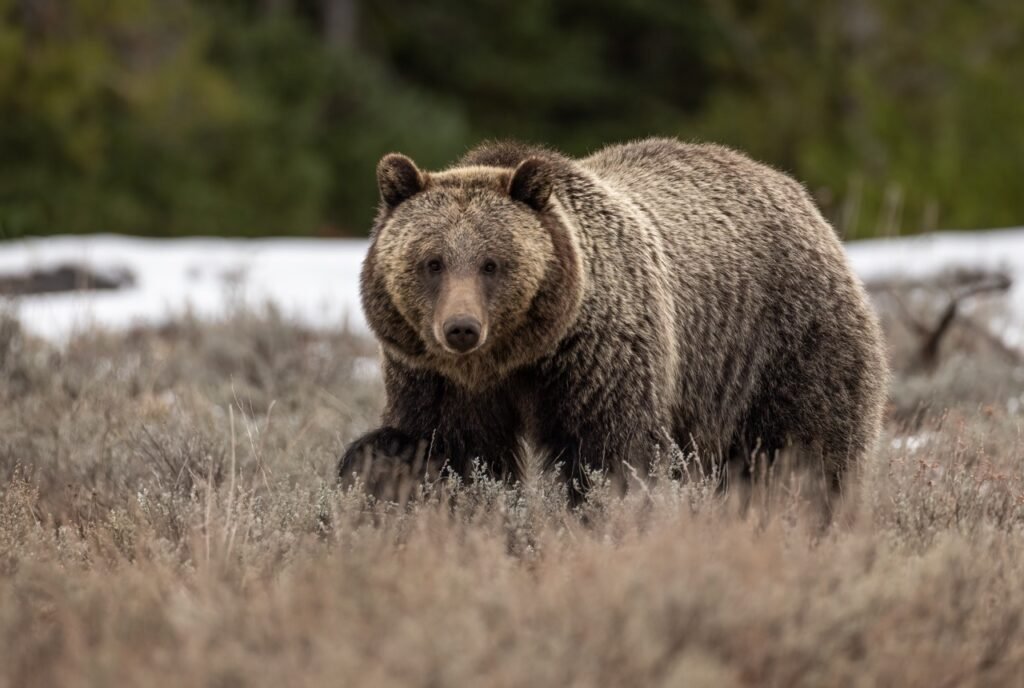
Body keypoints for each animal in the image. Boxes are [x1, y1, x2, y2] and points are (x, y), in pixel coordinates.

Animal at [337, 139, 888, 505]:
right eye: (432, 261)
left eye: (492, 263)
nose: (461, 328)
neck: (517, 355)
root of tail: (797, 193)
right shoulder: (439, 380)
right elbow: (459, 455)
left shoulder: (599, 354)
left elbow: (612, 455)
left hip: (784, 342)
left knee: (804, 452)